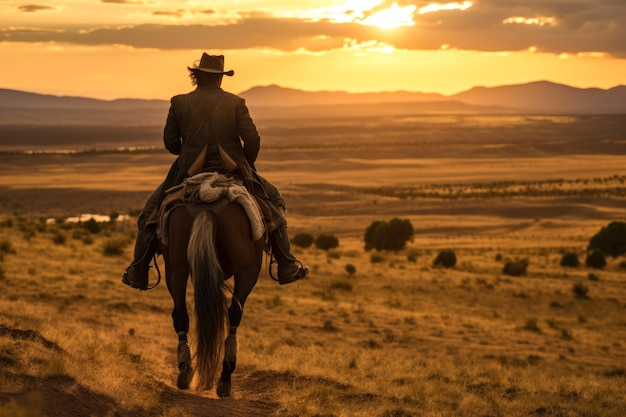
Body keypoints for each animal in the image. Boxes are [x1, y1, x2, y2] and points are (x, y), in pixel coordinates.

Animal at [160, 185, 264, 396]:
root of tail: (207, 206)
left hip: (176, 266)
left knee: (180, 313)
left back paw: (185, 370)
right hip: (247, 269)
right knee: (235, 313)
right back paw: (225, 377)